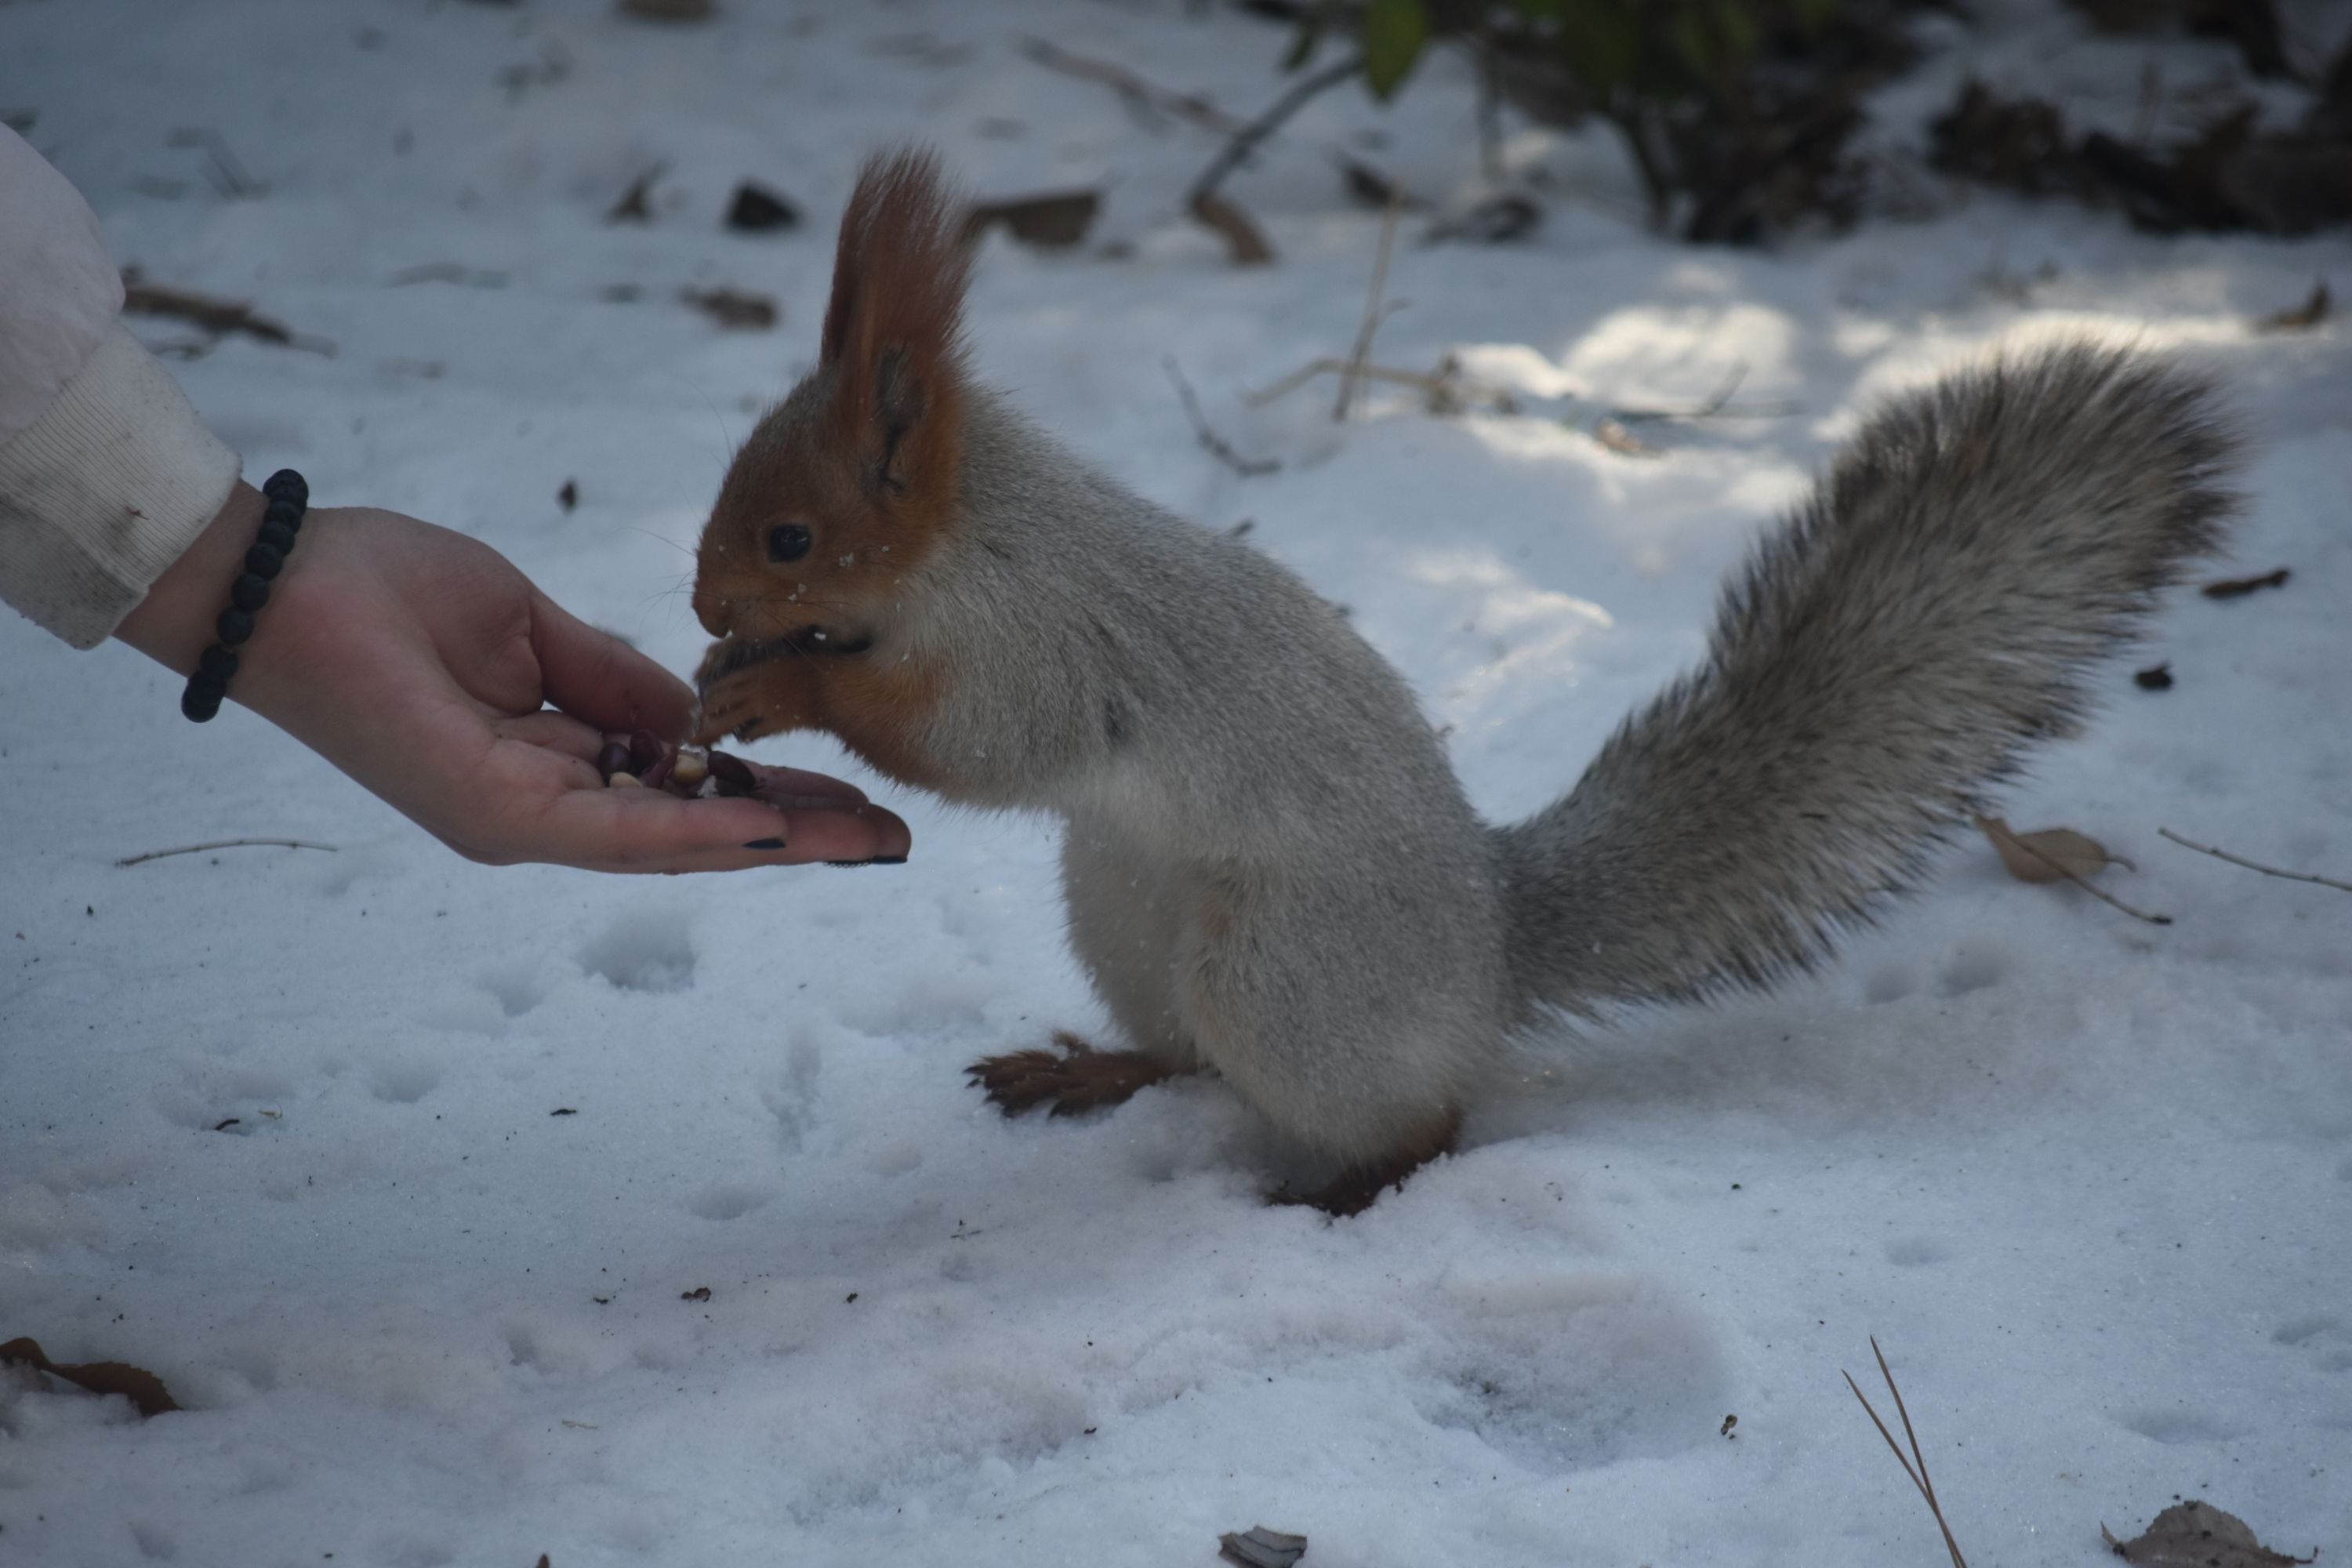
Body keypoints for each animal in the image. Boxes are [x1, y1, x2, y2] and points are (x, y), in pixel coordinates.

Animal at [691, 147, 2239, 1222]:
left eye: (792, 538)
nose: (703, 605)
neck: (975, 542)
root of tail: (1493, 942)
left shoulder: (1050, 645)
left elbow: (979, 743)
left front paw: (784, 692)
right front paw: (727, 670)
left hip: (1288, 969)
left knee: (1411, 1117)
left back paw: (1345, 1188)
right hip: (1124, 902)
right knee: (1190, 1057)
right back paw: (1090, 1073)